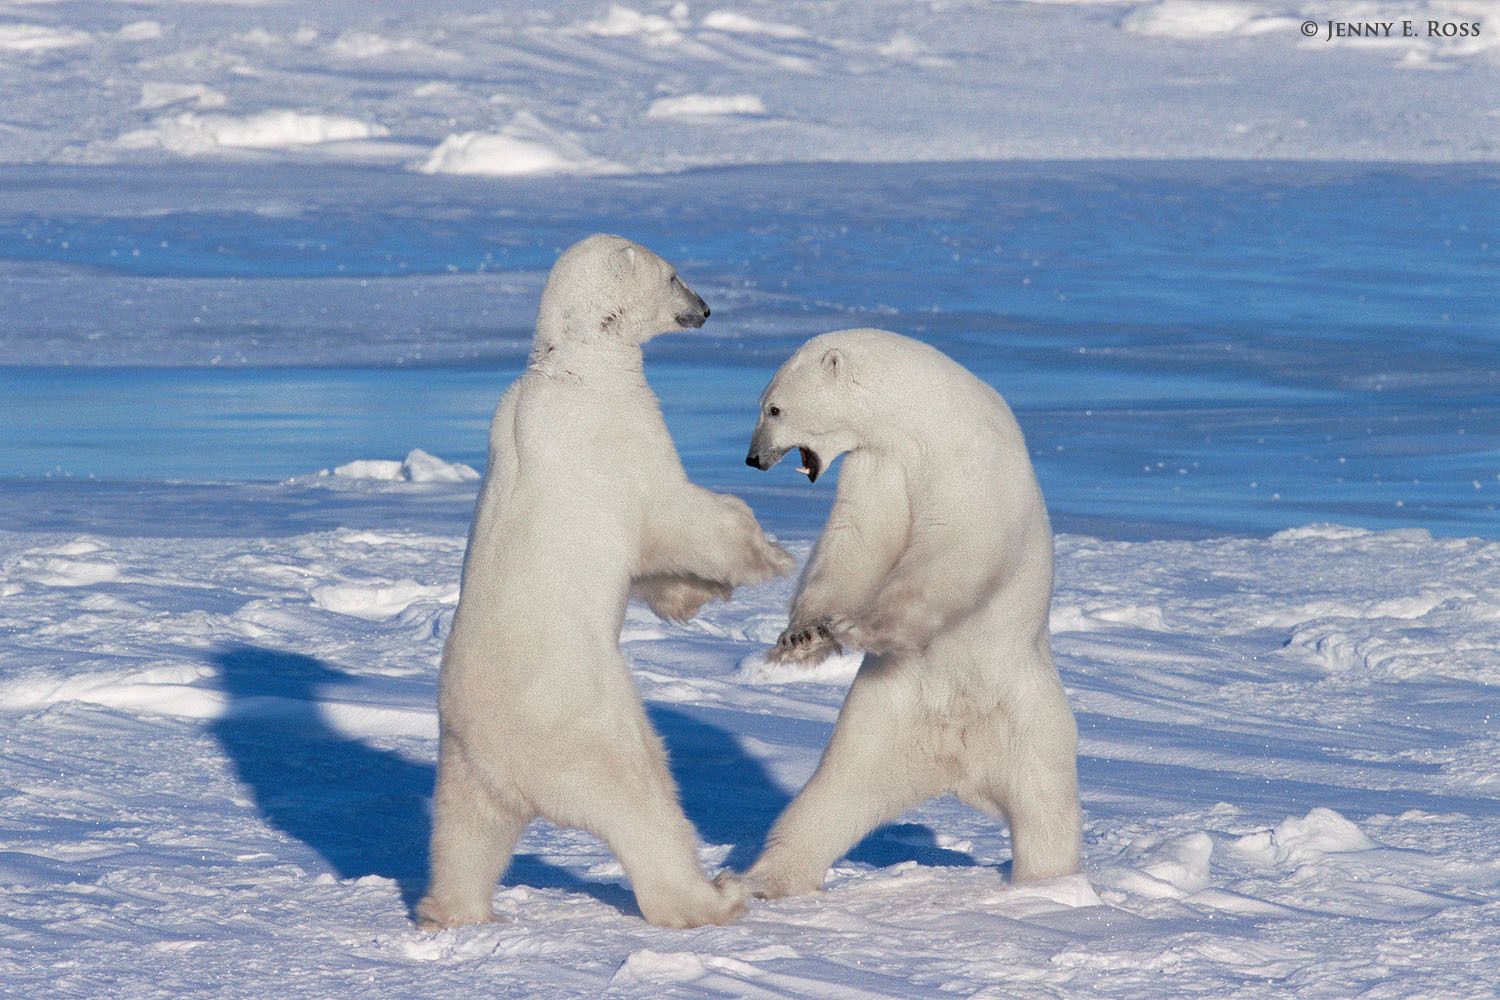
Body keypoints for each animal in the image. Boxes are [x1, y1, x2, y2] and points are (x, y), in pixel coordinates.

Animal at [420, 235, 798, 929]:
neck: (571, 364)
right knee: (644, 800)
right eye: (674, 276)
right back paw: (716, 895)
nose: (707, 309)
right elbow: (679, 513)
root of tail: (512, 769)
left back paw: (452, 911)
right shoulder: (619, 436)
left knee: (464, 837)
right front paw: (769, 556)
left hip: (462, 760)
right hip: (588, 730)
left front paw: (691, 597)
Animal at [738, 328, 1080, 899]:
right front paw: (802, 636)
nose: (752, 459)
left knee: (1045, 810)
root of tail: (960, 763)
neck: (924, 416)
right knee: (835, 792)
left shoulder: (966, 463)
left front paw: (860, 626)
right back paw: (763, 881)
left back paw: (1046, 887)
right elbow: (857, 541)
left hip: (1031, 720)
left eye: (774, 408)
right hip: (885, 716)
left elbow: (953, 553)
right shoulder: (881, 465)